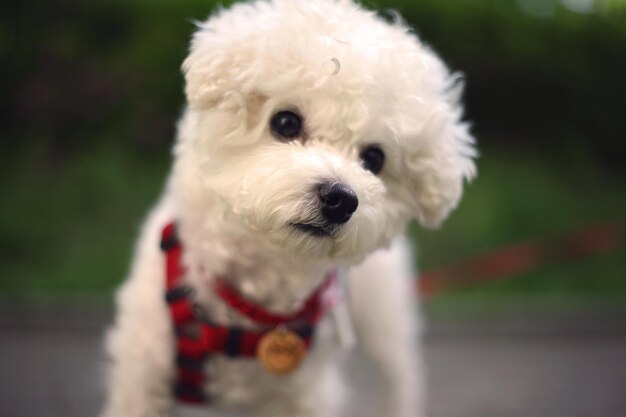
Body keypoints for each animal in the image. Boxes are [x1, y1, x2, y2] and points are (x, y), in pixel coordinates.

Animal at [101, 0, 472, 416]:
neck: (251, 305)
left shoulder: (303, 395)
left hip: (384, 318)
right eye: (285, 121)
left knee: (400, 378)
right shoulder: (141, 375)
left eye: (374, 158)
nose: (341, 199)